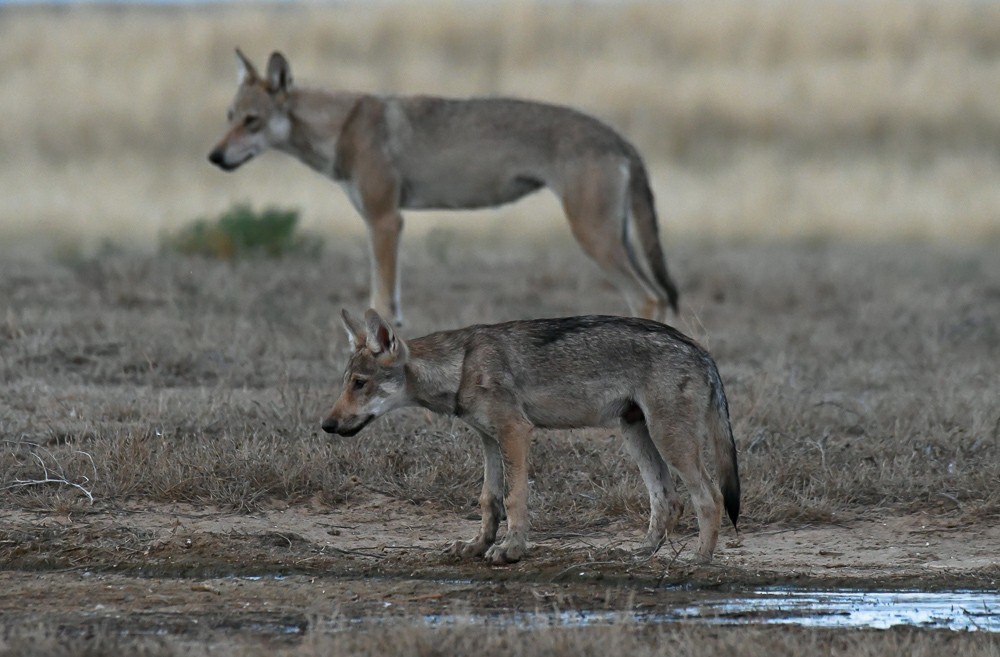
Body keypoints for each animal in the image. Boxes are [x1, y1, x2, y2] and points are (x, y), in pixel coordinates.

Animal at [208, 49, 680, 326]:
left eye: (252, 121)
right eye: (229, 116)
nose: (214, 157)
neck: (342, 127)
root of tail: (620, 139)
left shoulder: (385, 221)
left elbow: (379, 302)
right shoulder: (382, 223)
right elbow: (391, 309)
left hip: (593, 237)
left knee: (648, 298)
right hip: (615, 238)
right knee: (658, 296)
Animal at [322, 308, 740, 565]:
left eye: (359, 383)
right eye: (346, 383)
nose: (326, 424)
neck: (461, 366)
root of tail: (703, 352)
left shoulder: (515, 432)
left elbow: (514, 498)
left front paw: (512, 550)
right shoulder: (489, 439)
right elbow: (489, 500)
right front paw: (477, 546)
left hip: (669, 441)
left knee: (710, 497)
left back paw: (700, 559)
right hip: (636, 435)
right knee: (667, 500)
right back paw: (641, 554)